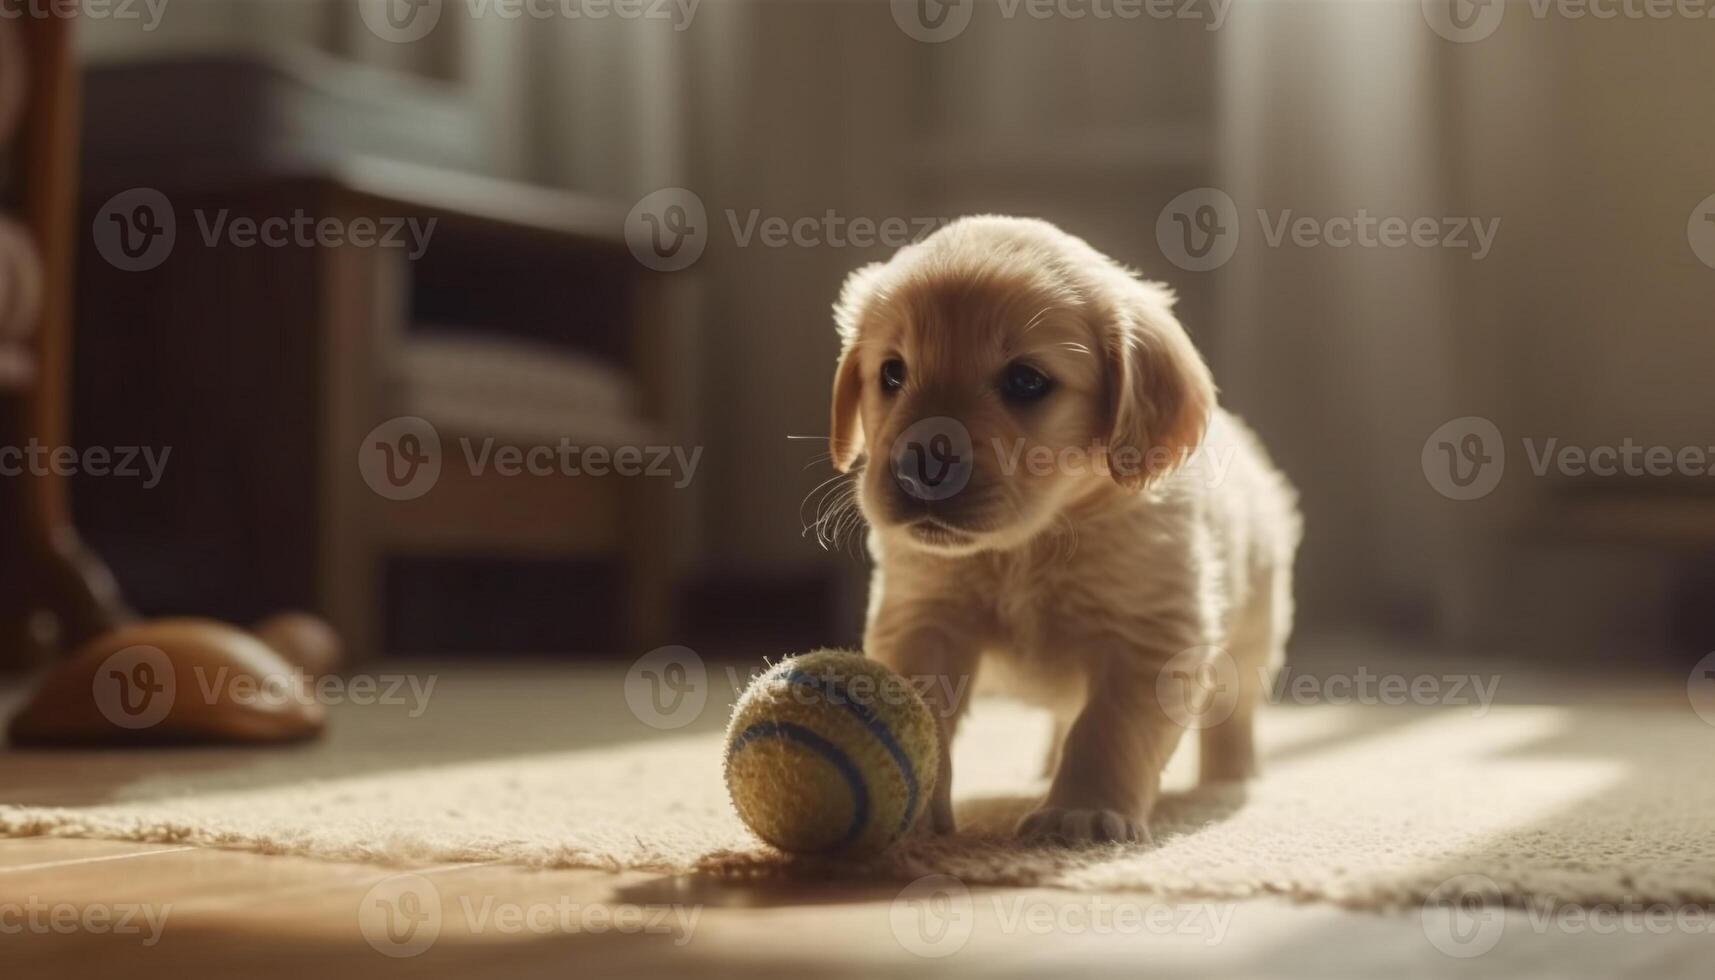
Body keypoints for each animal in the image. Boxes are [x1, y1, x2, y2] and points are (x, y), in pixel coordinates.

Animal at [830, 218, 1296, 847]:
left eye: (1026, 381)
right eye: (892, 373)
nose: (917, 465)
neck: (1029, 546)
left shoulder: (1151, 633)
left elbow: (1108, 729)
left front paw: (1082, 811)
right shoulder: (924, 617)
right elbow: (920, 710)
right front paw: (915, 814)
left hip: (1254, 633)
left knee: (1235, 712)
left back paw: (1229, 777)